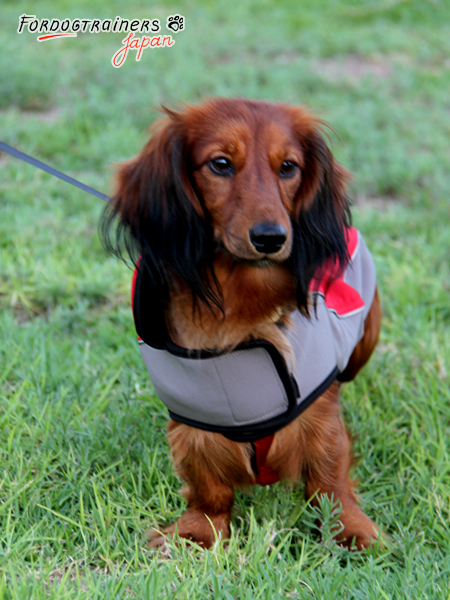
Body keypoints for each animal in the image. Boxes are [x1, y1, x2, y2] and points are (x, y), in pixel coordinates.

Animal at [101, 97, 380, 548]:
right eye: (220, 164)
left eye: (288, 166)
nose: (271, 238)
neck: (240, 305)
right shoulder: (194, 429)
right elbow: (209, 488)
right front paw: (197, 531)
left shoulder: (320, 417)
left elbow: (329, 480)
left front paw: (350, 529)